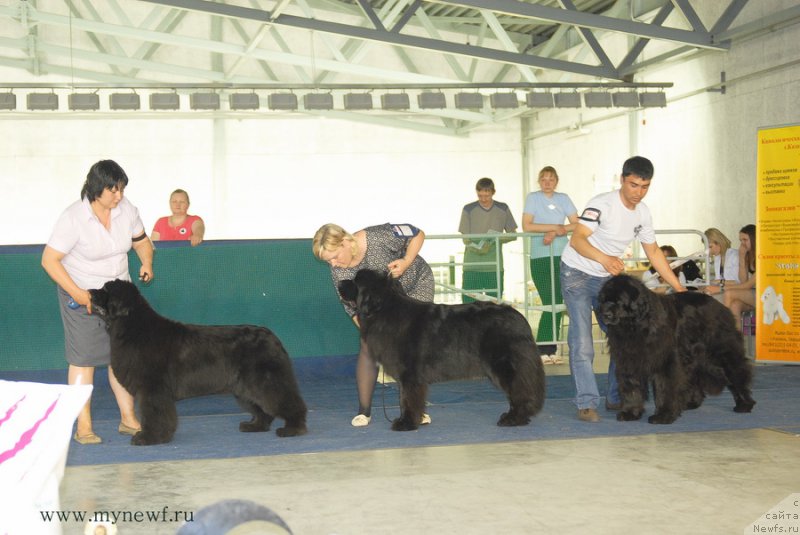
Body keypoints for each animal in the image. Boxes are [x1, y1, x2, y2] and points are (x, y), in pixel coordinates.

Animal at [89, 278, 308, 446]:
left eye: (106, 290)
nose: (89, 291)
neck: (132, 326)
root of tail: (272, 336)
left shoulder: (153, 389)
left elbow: (154, 414)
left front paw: (149, 438)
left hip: (265, 381)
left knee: (288, 402)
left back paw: (293, 429)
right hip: (246, 387)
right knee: (263, 409)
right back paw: (254, 426)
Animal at [334, 268, 548, 432]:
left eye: (355, 281)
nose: (339, 283)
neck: (385, 309)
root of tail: (519, 317)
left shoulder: (410, 374)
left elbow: (407, 399)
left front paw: (406, 423)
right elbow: (408, 398)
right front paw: (413, 420)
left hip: (504, 366)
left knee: (520, 391)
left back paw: (514, 419)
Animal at [600, 276, 756, 422]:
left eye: (619, 300)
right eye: (604, 300)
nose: (605, 314)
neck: (635, 327)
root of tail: (720, 306)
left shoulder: (665, 361)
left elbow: (664, 387)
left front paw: (663, 416)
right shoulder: (628, 360)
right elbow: (631, 387)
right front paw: (630, 412)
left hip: (721, 354)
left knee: (737, 373)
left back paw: (744, 404)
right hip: (691, 357)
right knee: (692, 378)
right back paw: (691, 403)